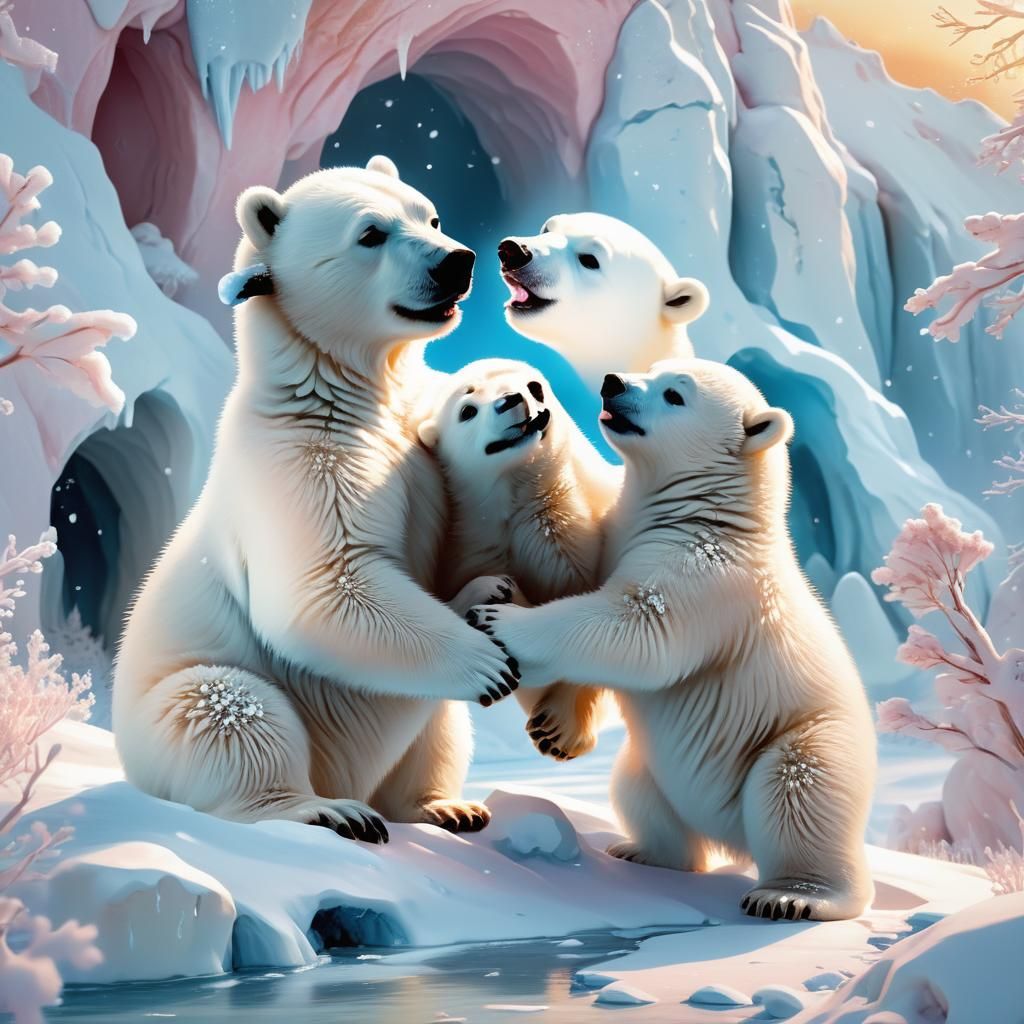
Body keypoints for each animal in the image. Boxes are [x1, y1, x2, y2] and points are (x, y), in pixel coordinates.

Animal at [113, 156, 521, 844]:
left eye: (430, 216)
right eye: (371, 234)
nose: (457, 261)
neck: (332, 388)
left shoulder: (418, 453)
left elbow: (439, 556)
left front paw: (486, 590)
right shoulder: (302, 462)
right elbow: (328, 586)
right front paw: (489, 664)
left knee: (438, 729)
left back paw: (445, 806)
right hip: (173, 711)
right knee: (231, 710)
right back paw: (325, 810)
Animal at [417, 357, 615, 759]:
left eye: (534, 386)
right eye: (467, 409)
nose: (514, 399)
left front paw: (558, 730)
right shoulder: (474, 548)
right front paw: (496, 596)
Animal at [467, 358, 876, 921]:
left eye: (675, 395)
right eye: (653, 369)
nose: (613, 383)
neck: (710, 512)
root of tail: (730, 840)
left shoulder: (708, 572)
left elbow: (640, 630)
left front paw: (497, 619)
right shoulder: (615, 540)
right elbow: (582, 600)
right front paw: (553, 720)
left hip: (808, 738)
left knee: (798, 789)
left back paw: (793, 895)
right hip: (652, 770)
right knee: (637, 789)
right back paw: (642, 851)